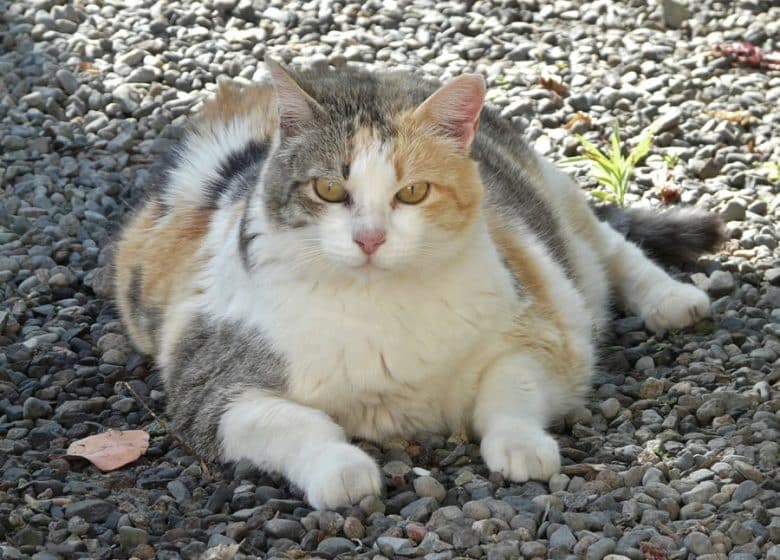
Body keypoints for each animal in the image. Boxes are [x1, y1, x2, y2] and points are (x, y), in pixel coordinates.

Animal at [112, 59, 724, 510]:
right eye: (329, 190)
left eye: (412, 193)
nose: (369, 238)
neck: (378, 307)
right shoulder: (209, 389)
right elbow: (293, 422)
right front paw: (343, 470)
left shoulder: (546, 333)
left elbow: (509, 389)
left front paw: (522, 446)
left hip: (559, 206)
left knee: (609, 247)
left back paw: (672, 299)